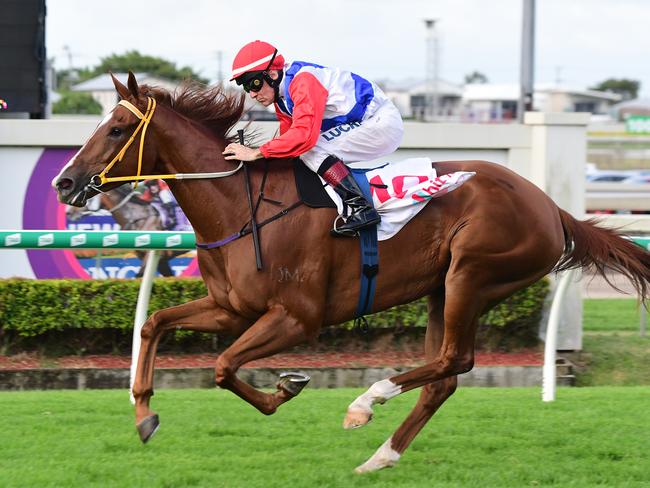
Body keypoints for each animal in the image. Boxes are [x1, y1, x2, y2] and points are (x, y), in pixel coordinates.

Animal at [52, 72, 648, 472]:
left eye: (118, 128)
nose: (64, 182)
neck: (241, 205)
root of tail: (552, 208)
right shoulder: (231, 307)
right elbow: (155, 324)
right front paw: (143, 415)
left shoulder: (298, 317)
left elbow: (222, 367)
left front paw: (286, 387)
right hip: (442, 288)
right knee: (444, 375)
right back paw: (380, 457)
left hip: (473, 275)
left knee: (455, 359)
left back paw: (367, 402)